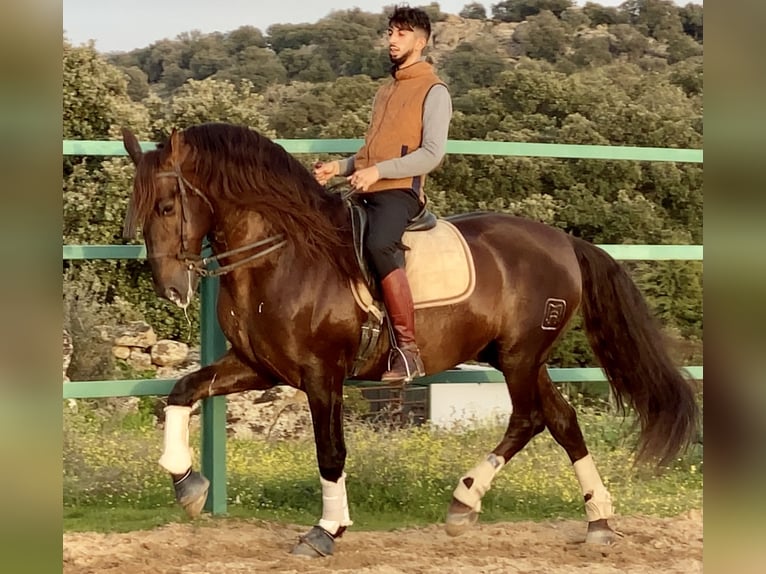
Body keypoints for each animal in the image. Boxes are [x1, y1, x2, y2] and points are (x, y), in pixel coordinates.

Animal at [120, 121, 704, 560]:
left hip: (520, 357)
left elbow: (330, 452)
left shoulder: (321, 375)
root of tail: (564, 241)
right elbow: (182, 390)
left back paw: (466, 501)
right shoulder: (256, 365)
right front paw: (187, 485)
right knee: (560, 420)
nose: (171, 289)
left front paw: (326, 530)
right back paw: (594, 520)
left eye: (166, 207)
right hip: (521, 358)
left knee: (530, 418)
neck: (283, 252)